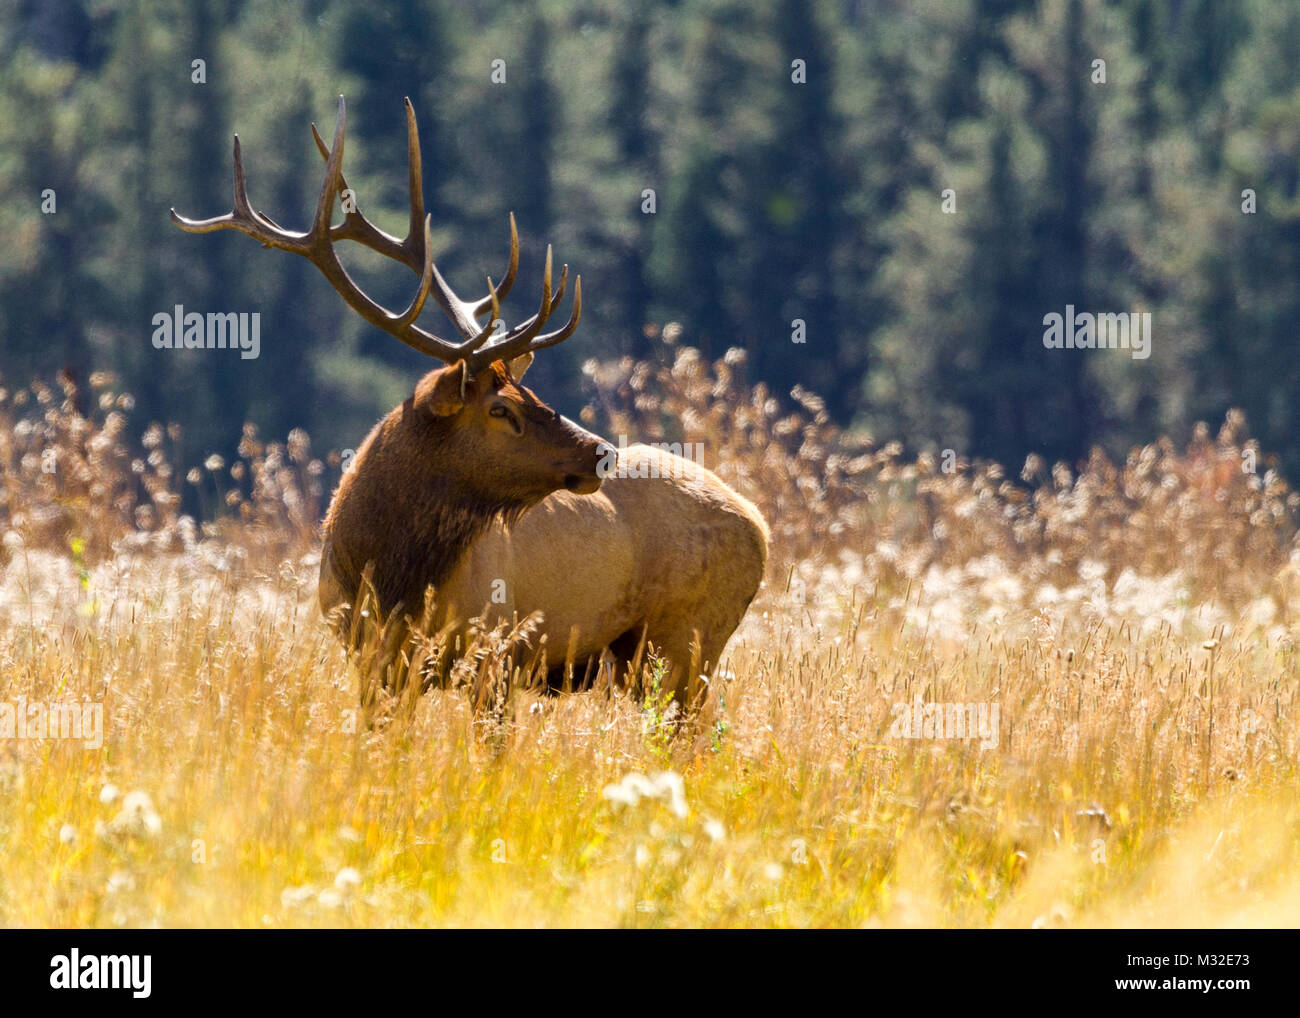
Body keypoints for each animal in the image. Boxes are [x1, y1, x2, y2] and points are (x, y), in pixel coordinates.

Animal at [167, 99, 764, 712]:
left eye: (528, 394)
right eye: (501, 409)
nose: (601, 453)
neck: (388, 576)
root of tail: (759, 523)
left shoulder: (495, 653)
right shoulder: (371, 661)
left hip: (686, 642)